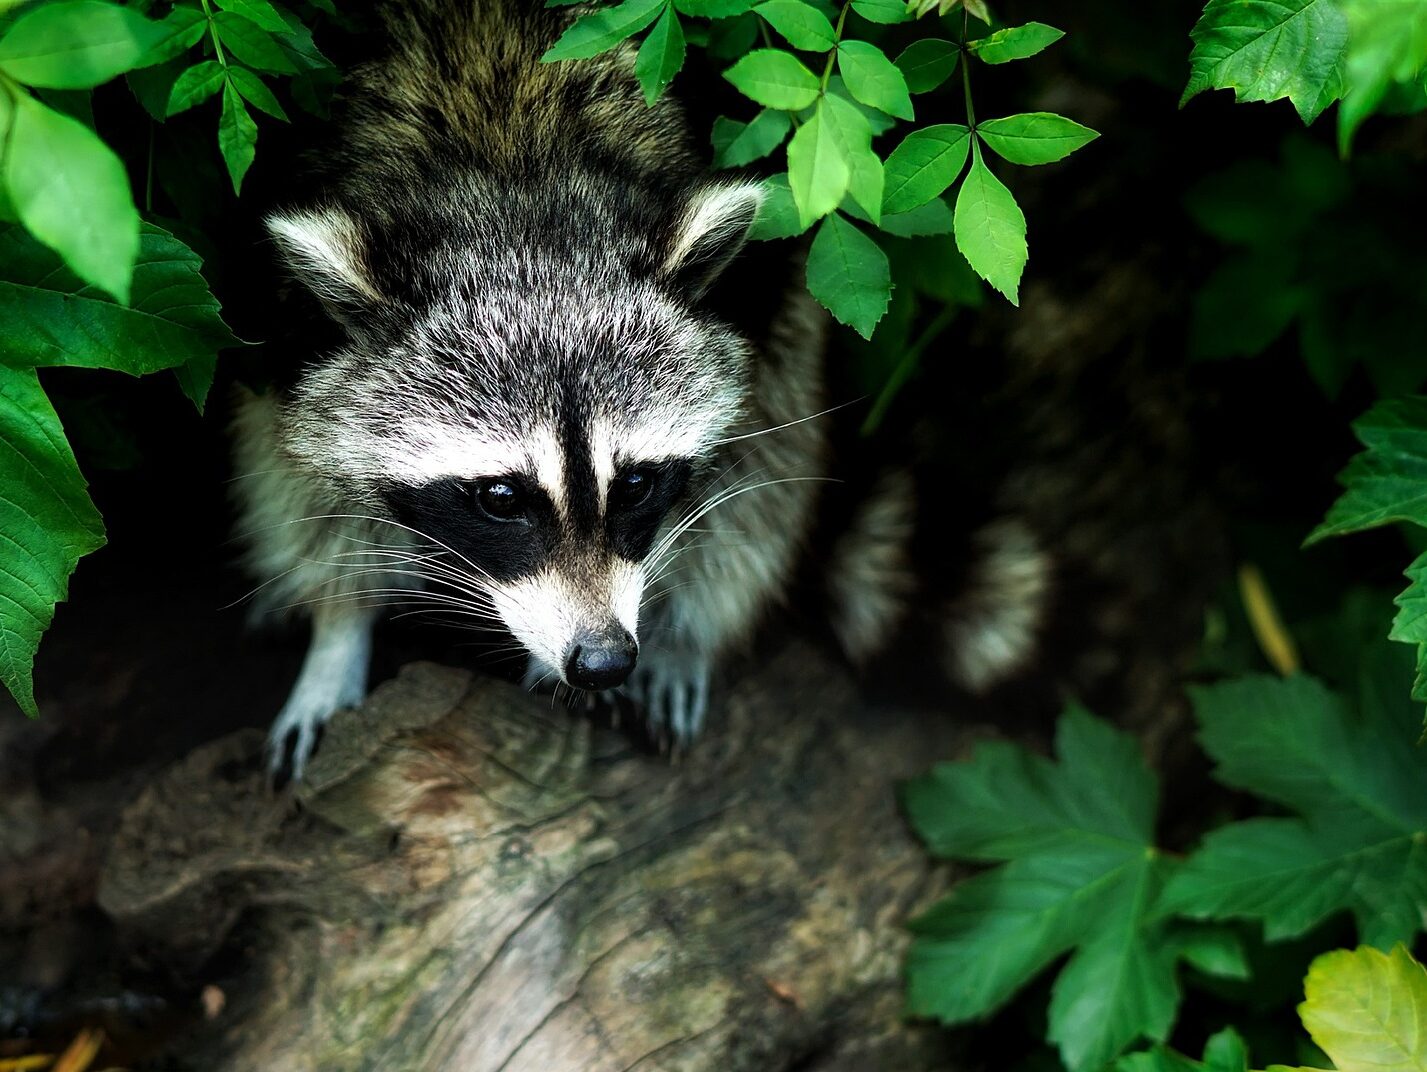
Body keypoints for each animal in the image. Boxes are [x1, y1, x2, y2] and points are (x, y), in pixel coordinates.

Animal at [231, 0, 1038, 782]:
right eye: (501, 498)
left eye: (638, 484)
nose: (603, 660)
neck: (512, 177)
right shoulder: (288, 324)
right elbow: (299, 475)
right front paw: (338, 631)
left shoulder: (754, 290)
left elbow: (754, 461)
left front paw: (681, 630)